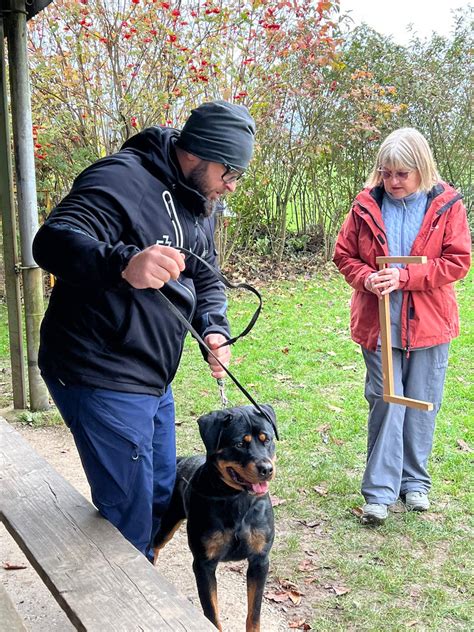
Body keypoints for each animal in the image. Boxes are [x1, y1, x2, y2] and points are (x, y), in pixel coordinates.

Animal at [154, 404, 276, 632]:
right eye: (239, 443)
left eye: (267, 439)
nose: (266, 469)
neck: (237, 499)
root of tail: (180, 459)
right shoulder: (204, 563)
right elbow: (211, 611)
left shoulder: (260, 560)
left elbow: (254, 612)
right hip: (167, 523)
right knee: (154, 546)